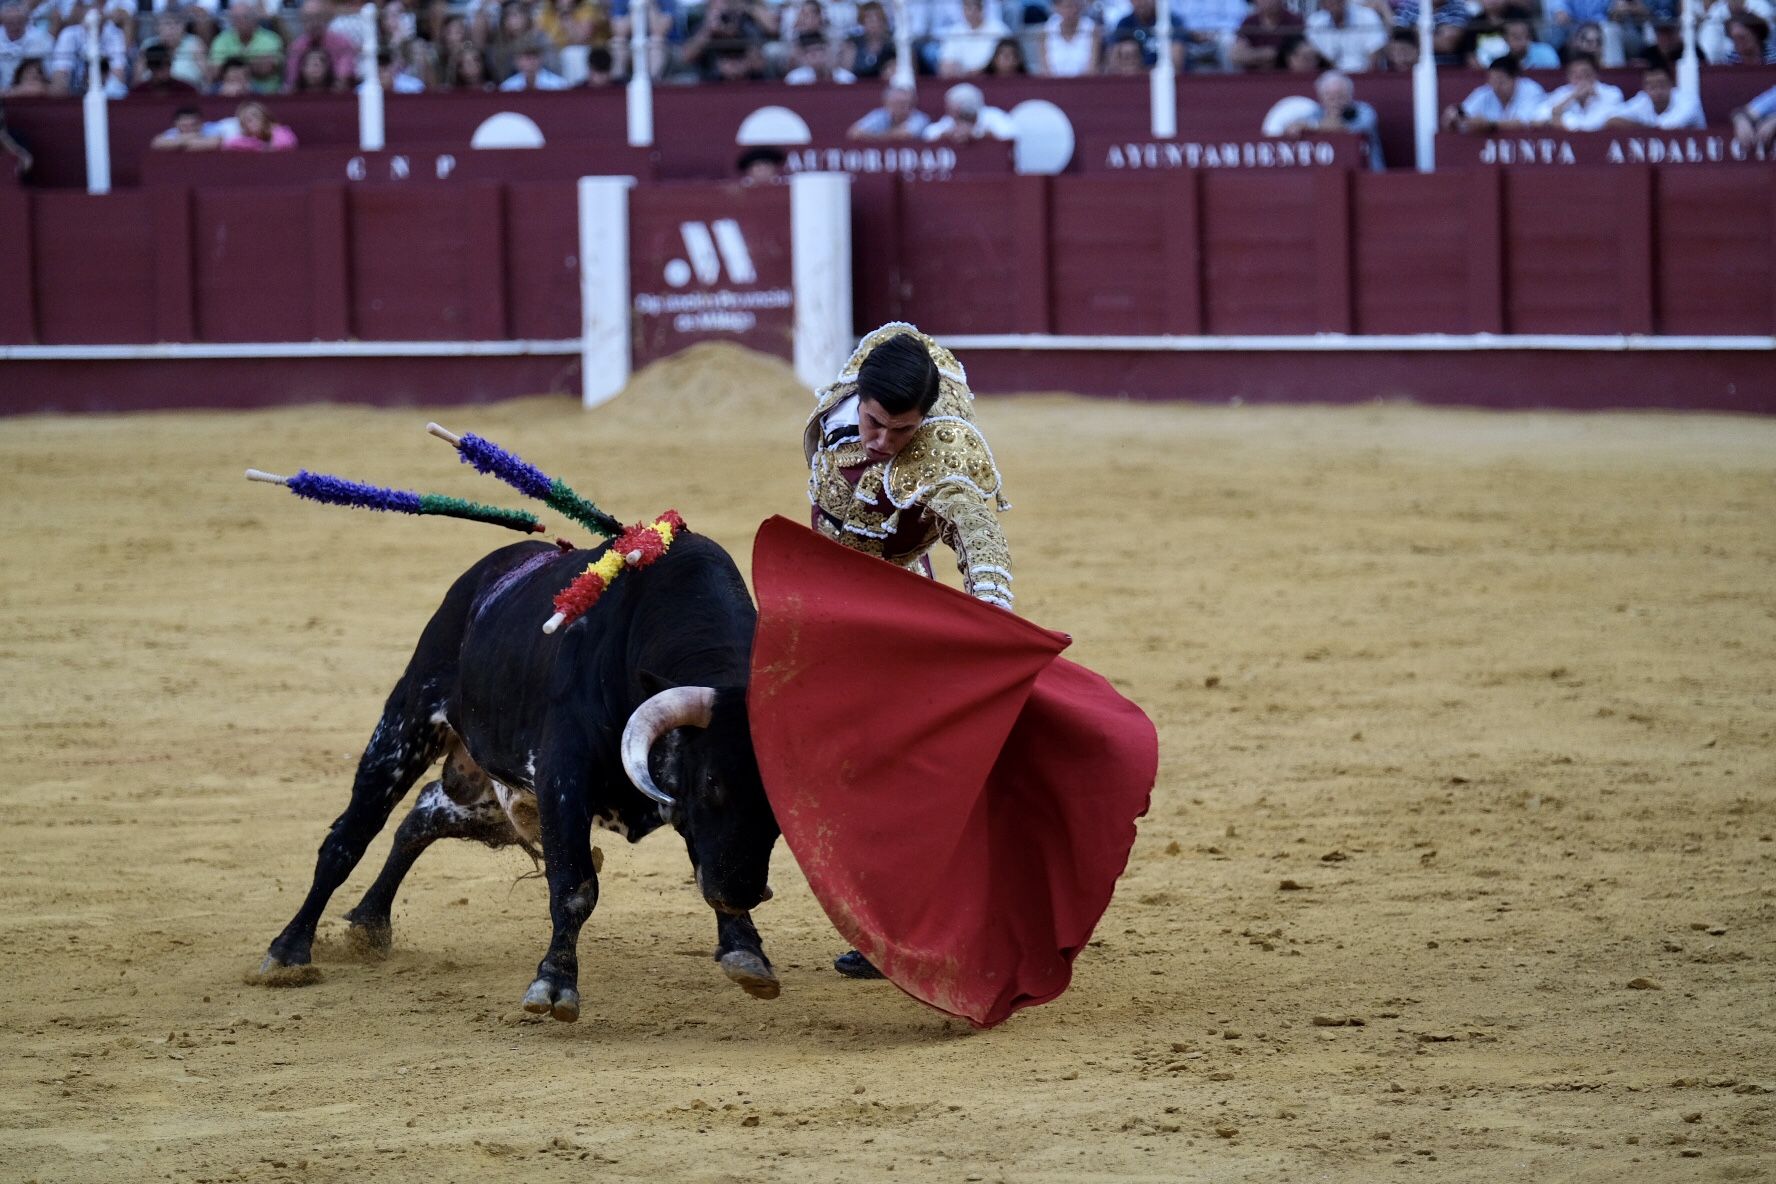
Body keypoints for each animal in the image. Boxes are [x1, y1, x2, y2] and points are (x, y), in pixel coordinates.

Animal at [253, 532, 781, 1022]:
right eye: (712, 781)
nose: (741, 892)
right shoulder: (563, 780)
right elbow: (574, 886)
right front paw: (553, 986)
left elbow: (703, 859)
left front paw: (745, 950)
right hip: (404, 727)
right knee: (350, 836)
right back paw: (288, 950)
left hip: (490, 794)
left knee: (424, 812)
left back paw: (370, 923)